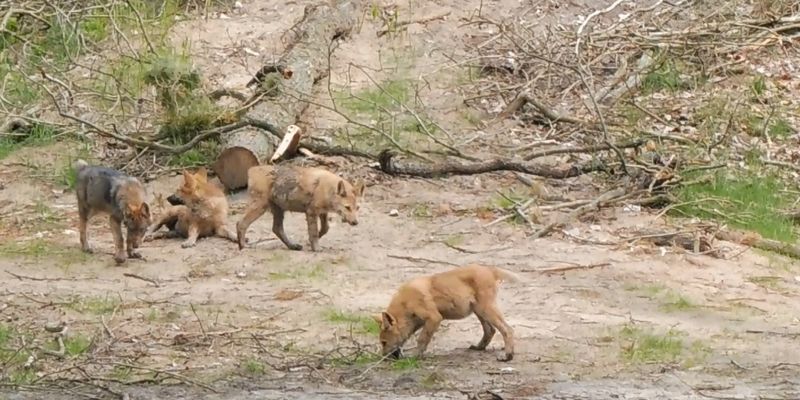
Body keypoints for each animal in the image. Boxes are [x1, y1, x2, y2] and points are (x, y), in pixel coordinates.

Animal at [236, 164, 364, 252]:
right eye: (347, 207)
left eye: (357, 208)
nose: (355, 222)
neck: (327, 189)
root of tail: (252, 169)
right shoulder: (311, 211)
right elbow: (314, 233)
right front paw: (316, 248)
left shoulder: (323, 212)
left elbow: (325, 229)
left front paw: (310, 242)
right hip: (260, 207)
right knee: (241, 223)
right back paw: (243, 246)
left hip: (279, 210)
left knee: (276, 229)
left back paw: (292, 246)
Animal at [374, 266, 520, 362]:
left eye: (384, 342)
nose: (383, 358)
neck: (405, 304)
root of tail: (490, 269)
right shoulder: (422, 322)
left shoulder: (434, 318)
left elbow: (422, 339)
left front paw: (415, 357)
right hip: (479, 310)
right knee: (490, 330)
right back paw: (479, 347)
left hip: (485, 309)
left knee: (507, 329)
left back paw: (508, 356)